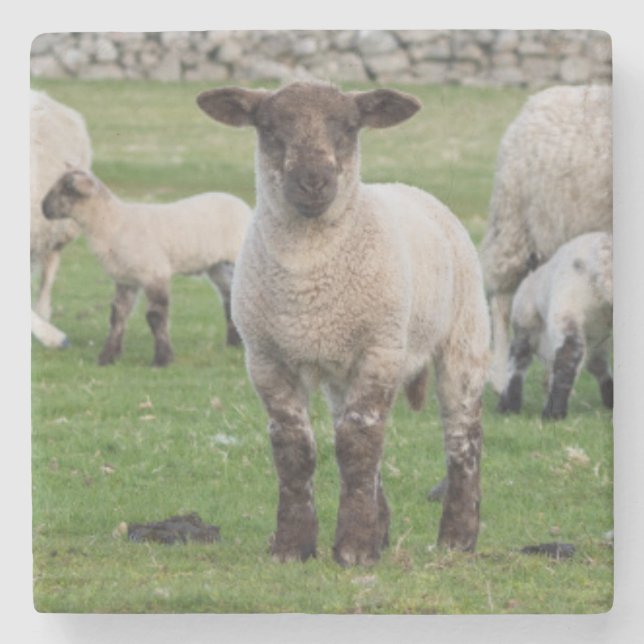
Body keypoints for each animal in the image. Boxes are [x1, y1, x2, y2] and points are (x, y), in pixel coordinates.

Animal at [41, 169, 252, 366]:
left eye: (67, 188)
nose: (43, 208)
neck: (112, 223)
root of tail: (240, 203)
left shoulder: (154, 273)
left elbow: (155, 317)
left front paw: (162, 359)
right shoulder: (126, 279)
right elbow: (118, 316)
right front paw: (108, 356)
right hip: (217, 266)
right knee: (229, 296)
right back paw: (233, 343)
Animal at [197, 81, 490, 566]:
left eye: (350, 126)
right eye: (269, 127)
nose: (313, 180)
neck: (308, 279)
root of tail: (411, 189)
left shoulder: (380, 349)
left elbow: (358, 444)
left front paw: (353, 548)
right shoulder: (266, 358)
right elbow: (295, 448)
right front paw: (294, 545)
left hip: (463, 337)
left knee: (462, 436)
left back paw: (457, 538)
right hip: (342, 370)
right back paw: (383, 528)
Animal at [498, 231, 613, 420]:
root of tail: (603, 261)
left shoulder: (523, 327)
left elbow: (516, 365)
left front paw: (509, 406)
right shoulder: (597, 340)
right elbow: (598, 365)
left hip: (567, 307)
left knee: (567, 356)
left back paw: (554, 414)